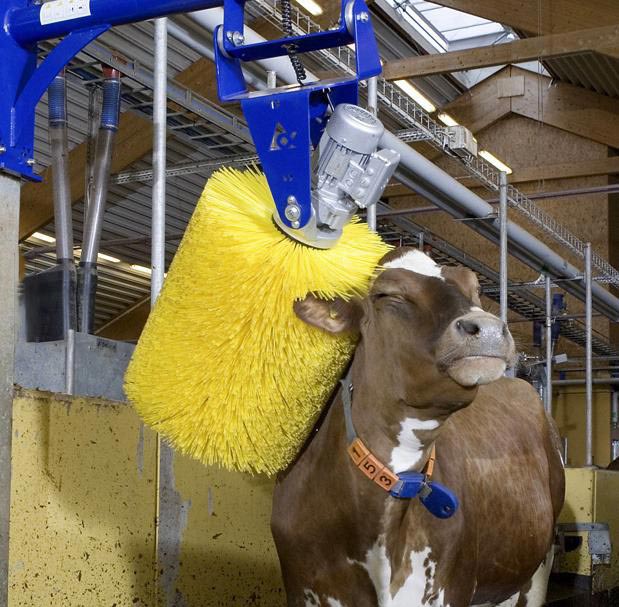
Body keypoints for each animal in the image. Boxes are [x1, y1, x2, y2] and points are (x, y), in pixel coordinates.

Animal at [272, 248, 568, 607]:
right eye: (387, 294)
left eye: (474, 288)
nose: (488, 328)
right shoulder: (300, 586)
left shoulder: (452, 585)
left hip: (539, 565)